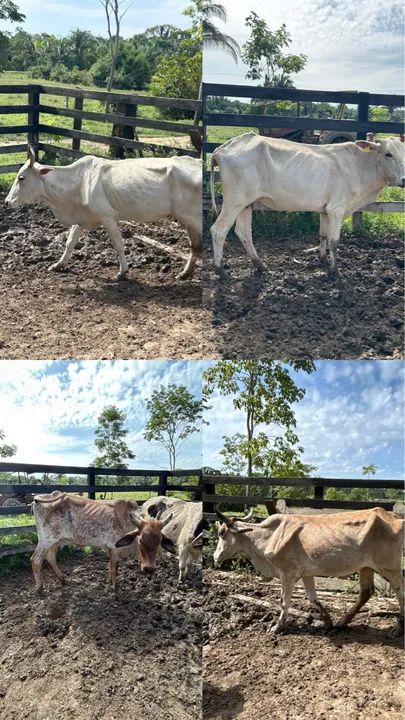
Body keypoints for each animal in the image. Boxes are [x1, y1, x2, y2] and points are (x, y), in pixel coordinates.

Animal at [5, 144, 202, 281]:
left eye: (21, 178)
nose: (7, 202)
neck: (78, 182)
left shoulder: (107, 216)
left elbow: (118, 244)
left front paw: (122, 272)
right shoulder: (83, 218)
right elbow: (70, 242)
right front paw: (58, 265)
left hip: (193, 217)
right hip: (190, 220)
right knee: (195, 247)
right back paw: (184, 274)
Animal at [31, 491, 175, 594]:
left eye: (159, 542)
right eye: (140, 540)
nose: (149, 569)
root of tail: (37, 499)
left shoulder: (112, 549)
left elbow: (111, 566)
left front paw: (110, 582)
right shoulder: (115, 547)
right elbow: (115, 568)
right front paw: (115, 588)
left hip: (56, 541)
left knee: (51, 557)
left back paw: (63, 579)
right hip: (46, 540)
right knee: (36, 560)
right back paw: (39, 588)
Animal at [209, 132, 405, 280]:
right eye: (388, 154)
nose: (404, 179)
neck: (360, 166)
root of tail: (224, 147)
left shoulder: (325, 210)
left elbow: (323, 235)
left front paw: (323, 261)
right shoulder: (336, 209)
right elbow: (334, 241)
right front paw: (335, 272)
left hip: (246, 204)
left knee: (243, 232)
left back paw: (260, 266)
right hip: (234, 202)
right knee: (219, 230)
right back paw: (221, 270)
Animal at [213, 507, 404, 635]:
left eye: (222, 533)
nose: (215, 557)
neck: (270, 536)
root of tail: (394, 516)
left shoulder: (287, 573)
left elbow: (284, 601)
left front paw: (277, 627)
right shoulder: (306, 574)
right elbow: (312, 598)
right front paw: (327, 621)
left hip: (390, 567)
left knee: (400, 592)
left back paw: (398, 628)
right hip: (366, 567)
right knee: (366, 592)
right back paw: (341, 623)